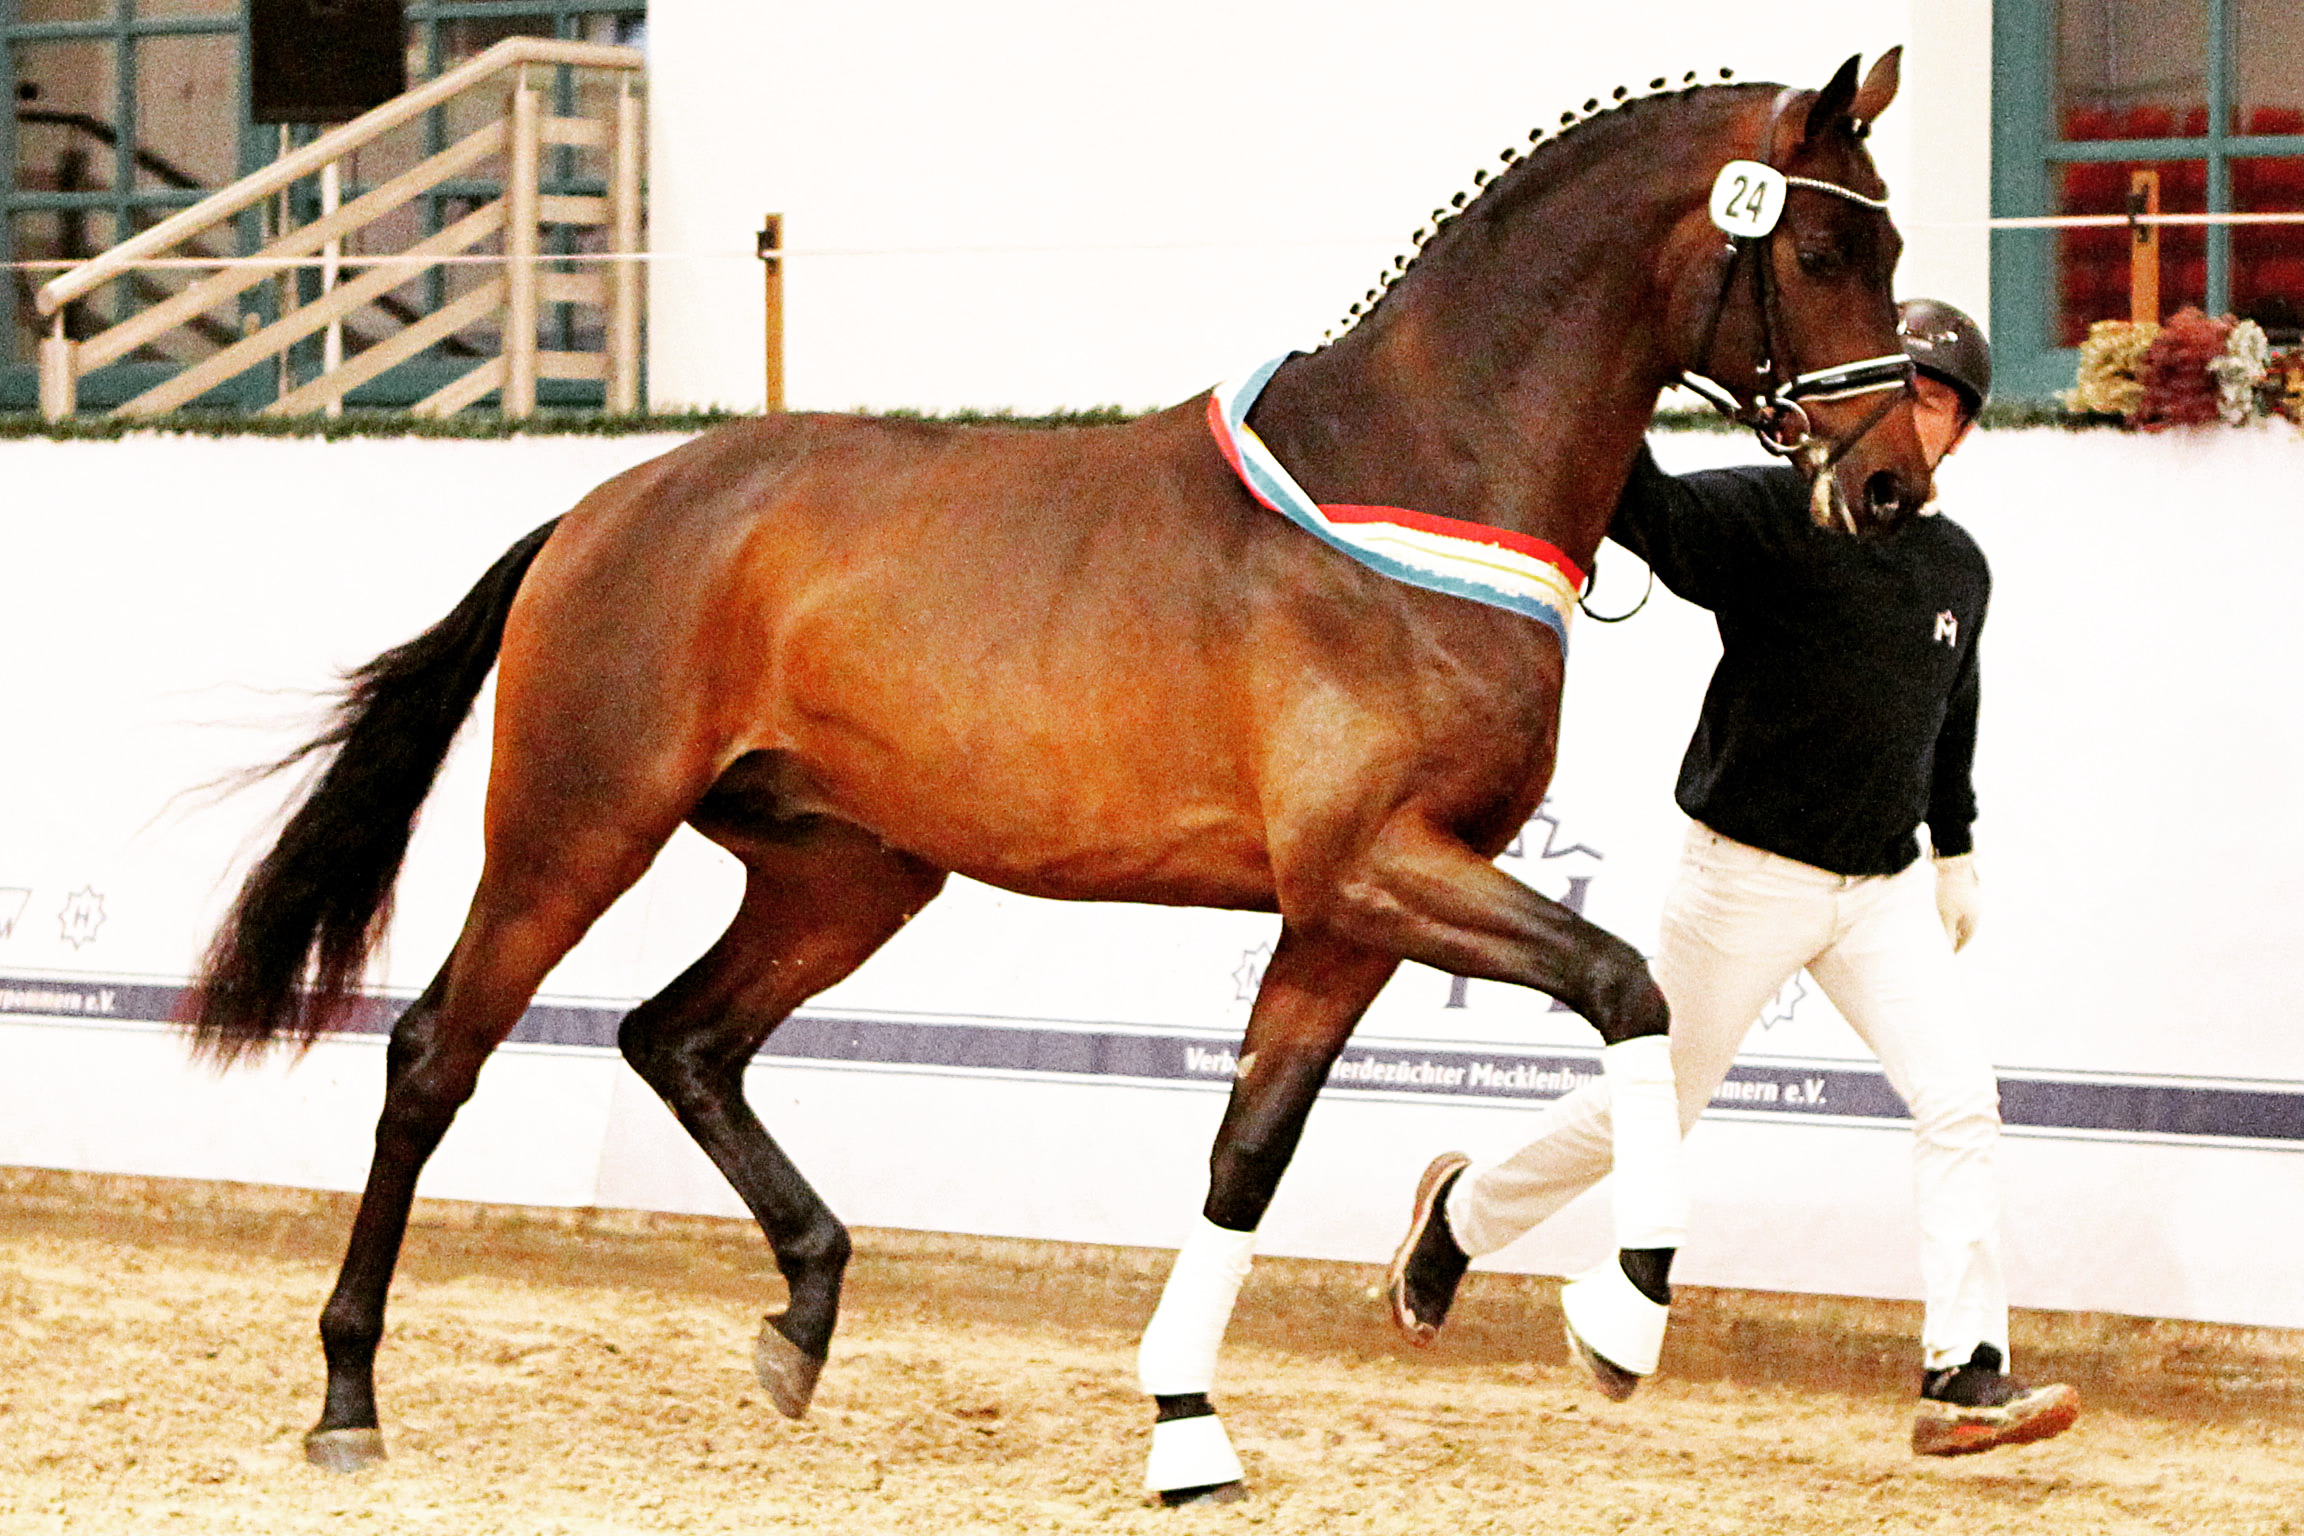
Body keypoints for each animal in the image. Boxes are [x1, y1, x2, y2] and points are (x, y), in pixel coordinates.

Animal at [187, 51, 1924, 1502]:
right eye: (1826, 258)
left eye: (1891, 249)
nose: (1894, 482)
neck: (1416, 477)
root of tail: (609, 504)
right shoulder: (1376, 865)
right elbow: (1631, 990)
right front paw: (1620, 1321)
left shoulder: (1343, 913)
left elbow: (1247, 1153)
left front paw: (1188, 1424)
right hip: (577, 825)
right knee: (438, 1054)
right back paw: (348, 1396)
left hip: (850, 870)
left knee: (681, 1037)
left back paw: (802, 1316)